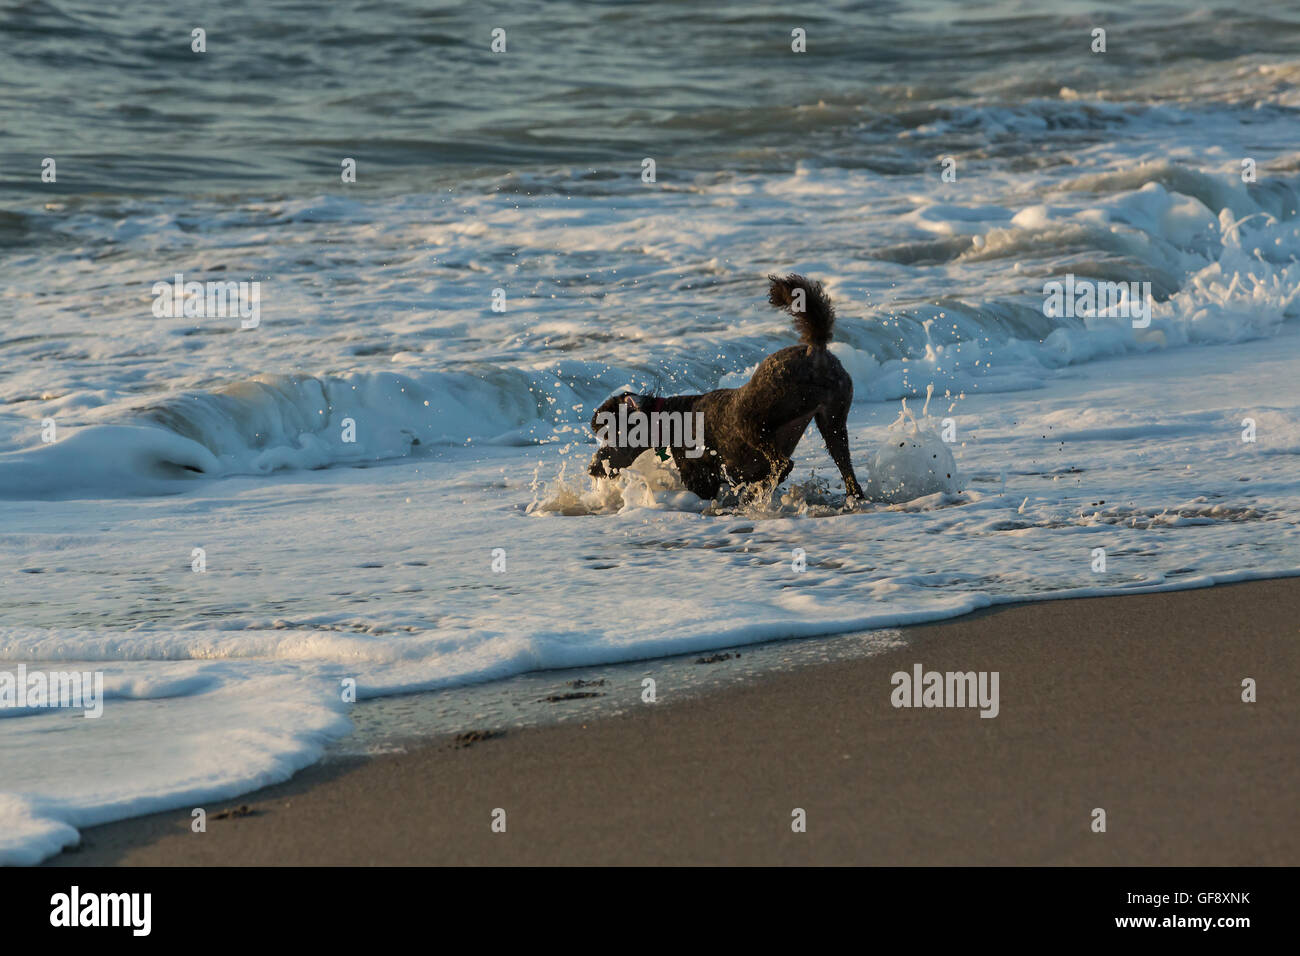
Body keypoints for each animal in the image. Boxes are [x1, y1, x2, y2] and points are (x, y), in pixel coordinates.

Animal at [590, 274, 863, 504]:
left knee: (783, 464)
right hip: (833, 418)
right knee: (844, 465)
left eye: (610, 434)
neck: (667, 419)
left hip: (755, 420)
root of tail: (813, 352)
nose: (592, 468)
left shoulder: (699, 475)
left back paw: (759, 492)